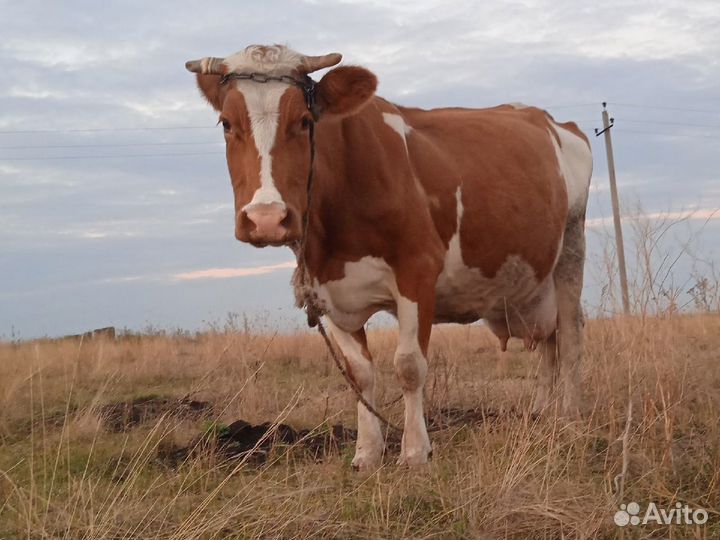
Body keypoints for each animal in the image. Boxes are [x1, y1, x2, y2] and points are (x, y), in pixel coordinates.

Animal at [185, 44, 592, 470]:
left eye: (304, 121)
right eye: (226, 123)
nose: (266, 218)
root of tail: (553, 121)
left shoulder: (417, 271)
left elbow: (409, 366)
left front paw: (414, 451)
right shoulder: (328, 291)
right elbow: (360, 374)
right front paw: (367, 452)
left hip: (572, 244)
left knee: (570, 336)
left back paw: (571, 415)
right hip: (535, 282)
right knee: (548, 341)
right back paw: (543, 412)